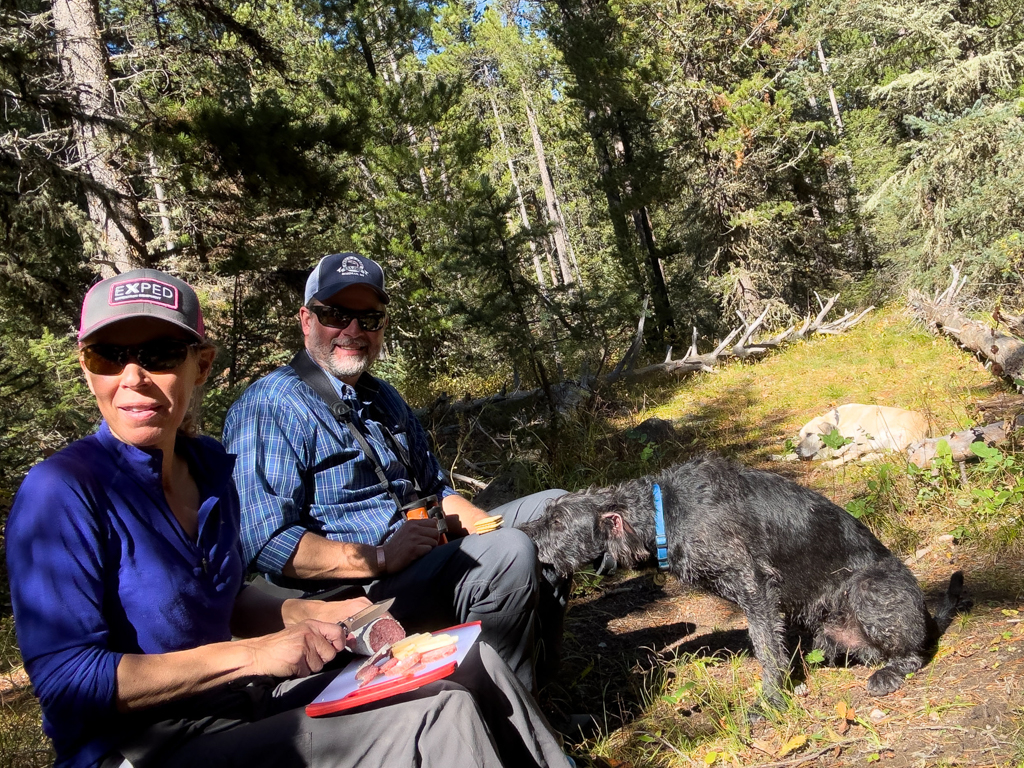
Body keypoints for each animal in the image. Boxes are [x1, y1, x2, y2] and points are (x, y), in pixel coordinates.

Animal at [524, 454, 962, 712]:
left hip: (869, 590)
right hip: (830, 634)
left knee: (914, 652)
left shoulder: (755, 586)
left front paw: (771, 699)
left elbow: (767, 650)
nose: (525, 534)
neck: (667, 512)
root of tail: (928, 617)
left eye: (558, 521)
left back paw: (892, 670)